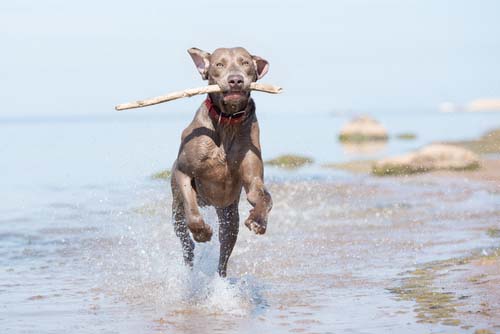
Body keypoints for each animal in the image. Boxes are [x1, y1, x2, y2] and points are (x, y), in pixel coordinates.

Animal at [172, 47, 274, 276]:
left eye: (245, 62)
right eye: (219, 64)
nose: (236, 80)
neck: (227, 121)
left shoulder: (253, 178)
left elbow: (263, 197)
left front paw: (258, 220)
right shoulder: (183, 172)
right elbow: (192, 211)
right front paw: (201, 232)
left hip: (229, 216)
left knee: (224, 249)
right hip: (176, 210)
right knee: (184, 237)